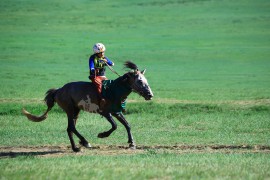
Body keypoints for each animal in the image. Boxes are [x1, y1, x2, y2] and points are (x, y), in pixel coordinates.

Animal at [22, 60, 154, 152]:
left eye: (146, 80)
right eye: (139, 81)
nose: (150, 95)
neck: (114, 90)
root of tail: (59, 90)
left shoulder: (117, 112)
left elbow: (127, 125)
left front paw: (132, 143)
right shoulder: (105, 112)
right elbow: (115, 126)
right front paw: (102, 135)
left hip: (76, 111)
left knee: (70, 128)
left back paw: (76, 147)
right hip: (70, 110)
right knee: (72, 127)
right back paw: (85, 142)